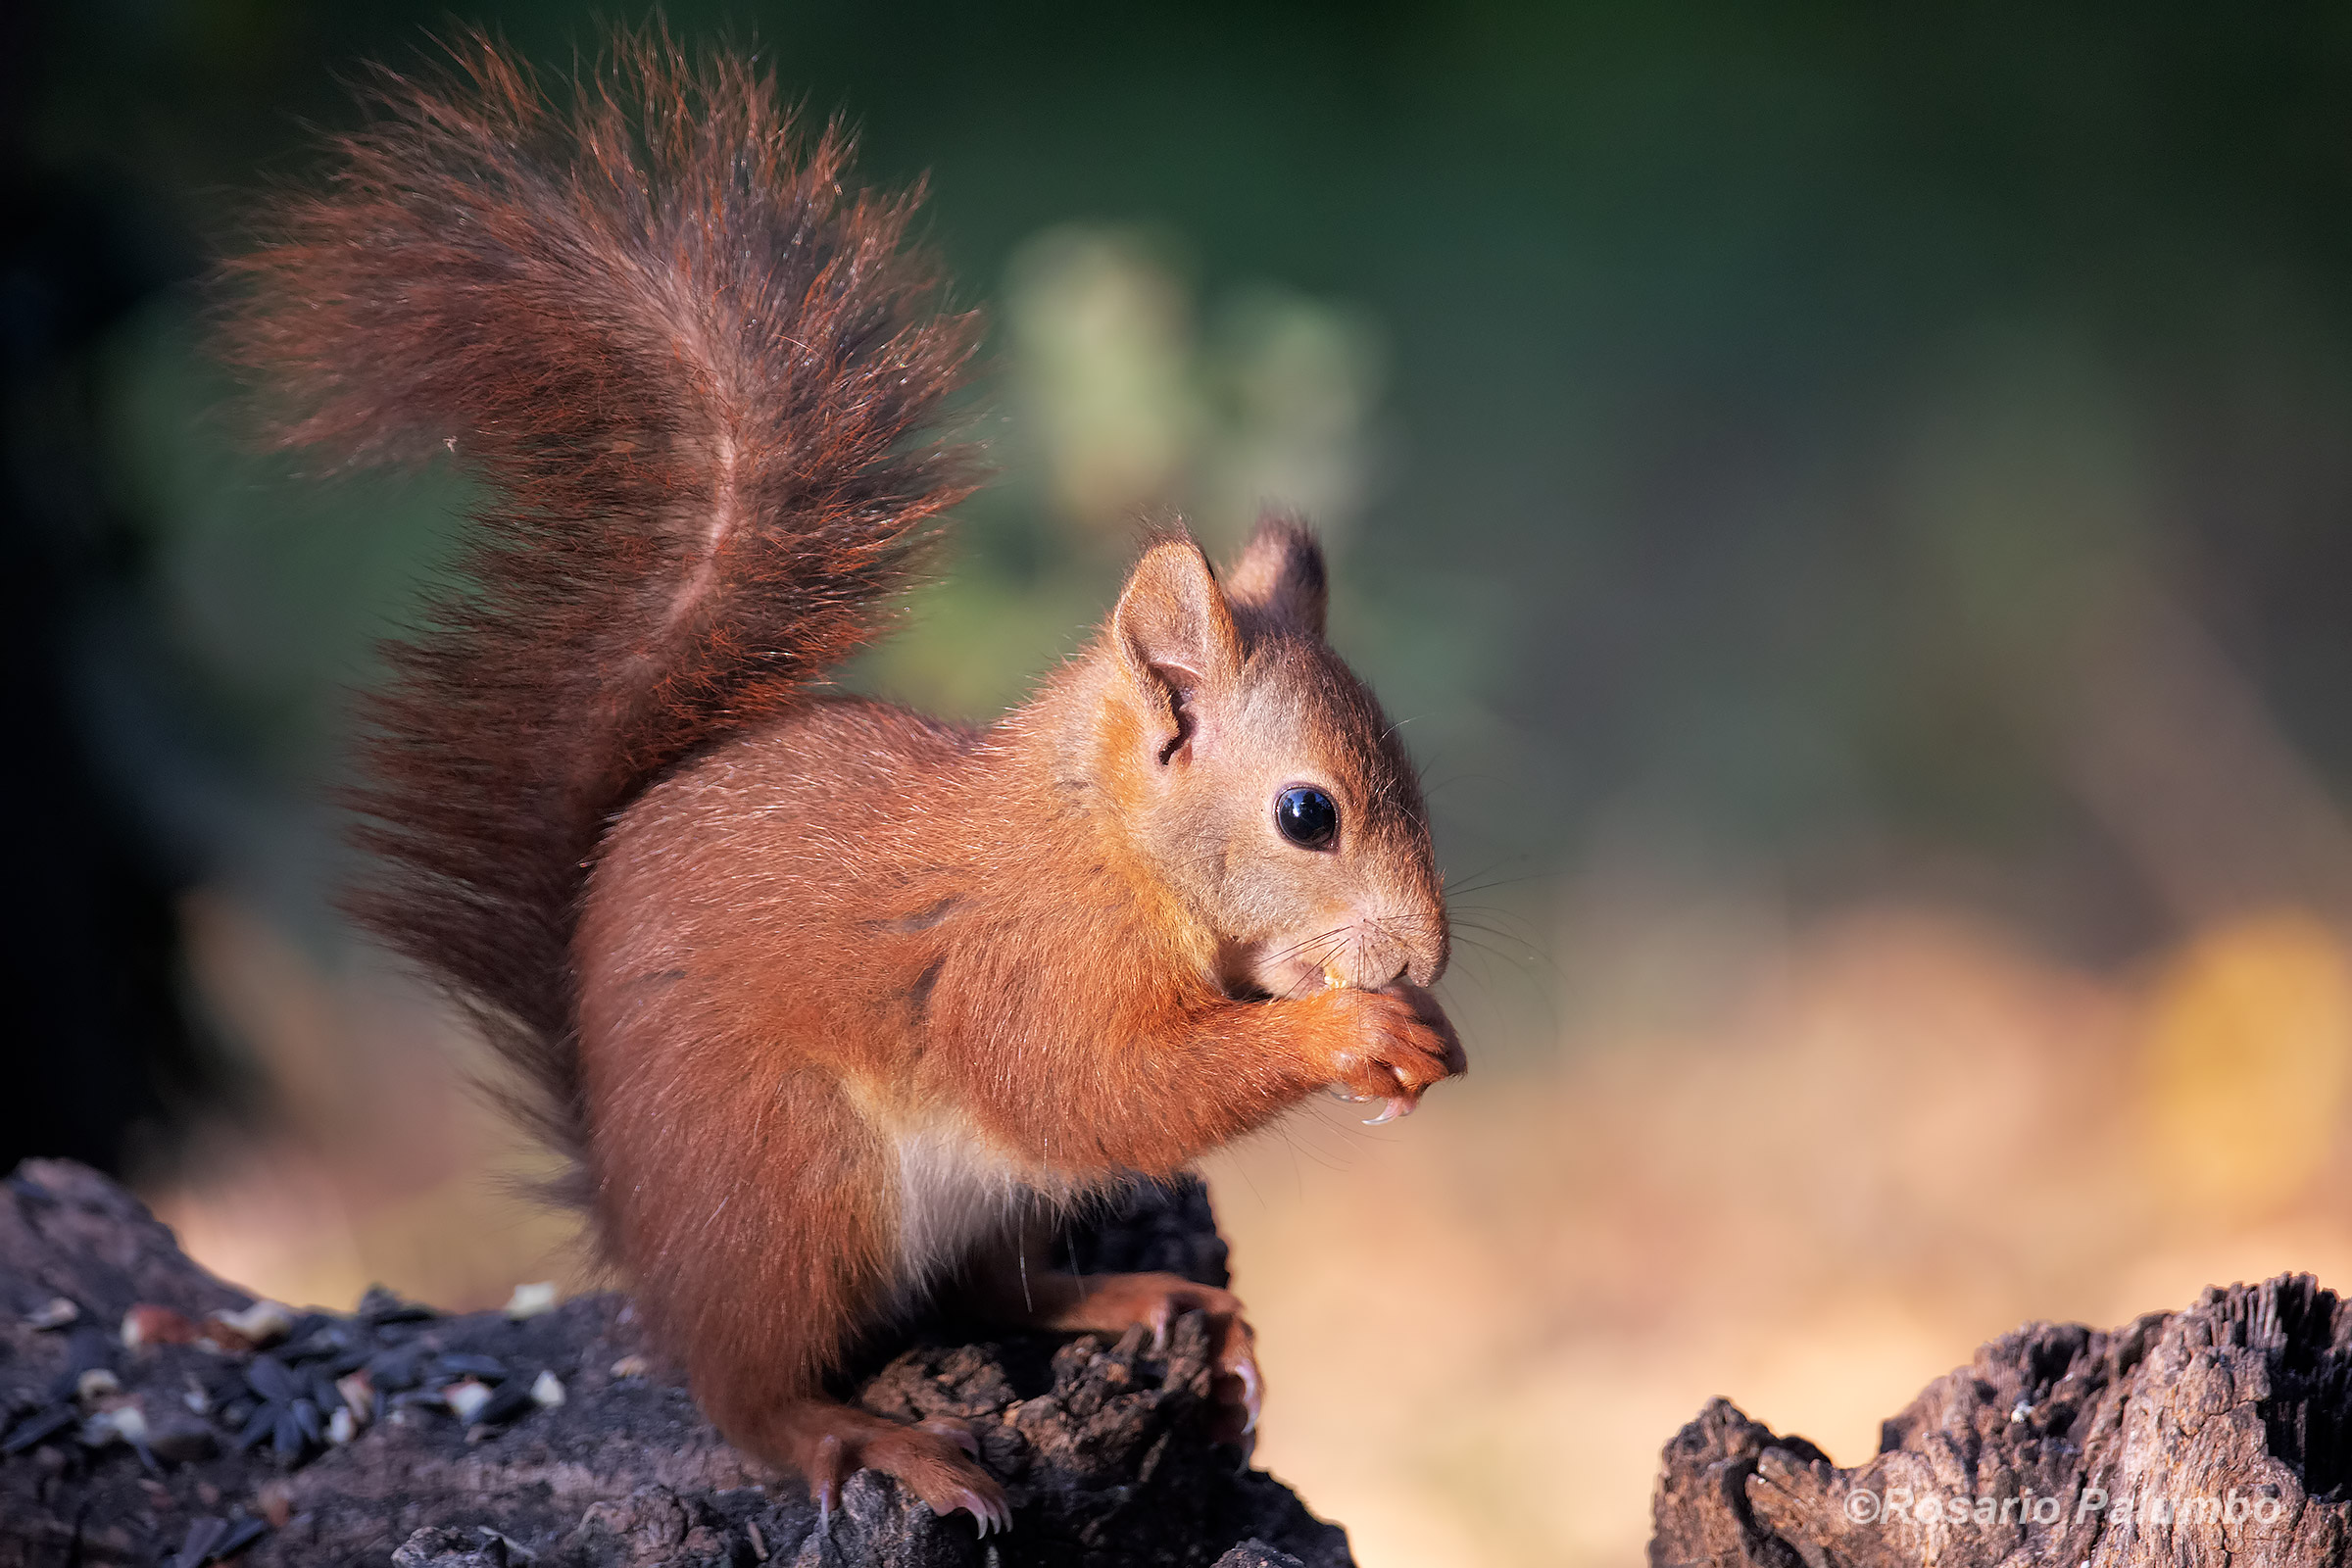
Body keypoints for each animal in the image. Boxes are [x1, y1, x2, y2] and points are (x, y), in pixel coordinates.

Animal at [219, 36, 1463, 1532]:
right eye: (1307, 814)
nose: (1429, 952)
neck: (1101, 841)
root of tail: (634, 1211)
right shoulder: (1023, 960)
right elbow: (1097, 1088)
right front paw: (1351, 1032)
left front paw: (1409, 1031)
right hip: (790, 1185)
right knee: (750, 1394)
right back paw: (869, 1438)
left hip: (980, 1199)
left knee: (992, 1290)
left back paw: (1138, 1298)